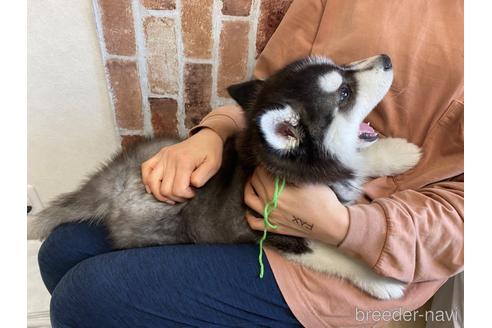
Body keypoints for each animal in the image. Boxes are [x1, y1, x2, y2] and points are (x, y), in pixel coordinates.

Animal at [28, 54, 420, 300]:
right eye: (344, 93)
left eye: (343, 67)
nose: (386, 58)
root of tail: (114, 179)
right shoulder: (277, 232)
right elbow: (334, 254)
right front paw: (379, 279)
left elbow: (360, 160)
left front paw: (398, 153)